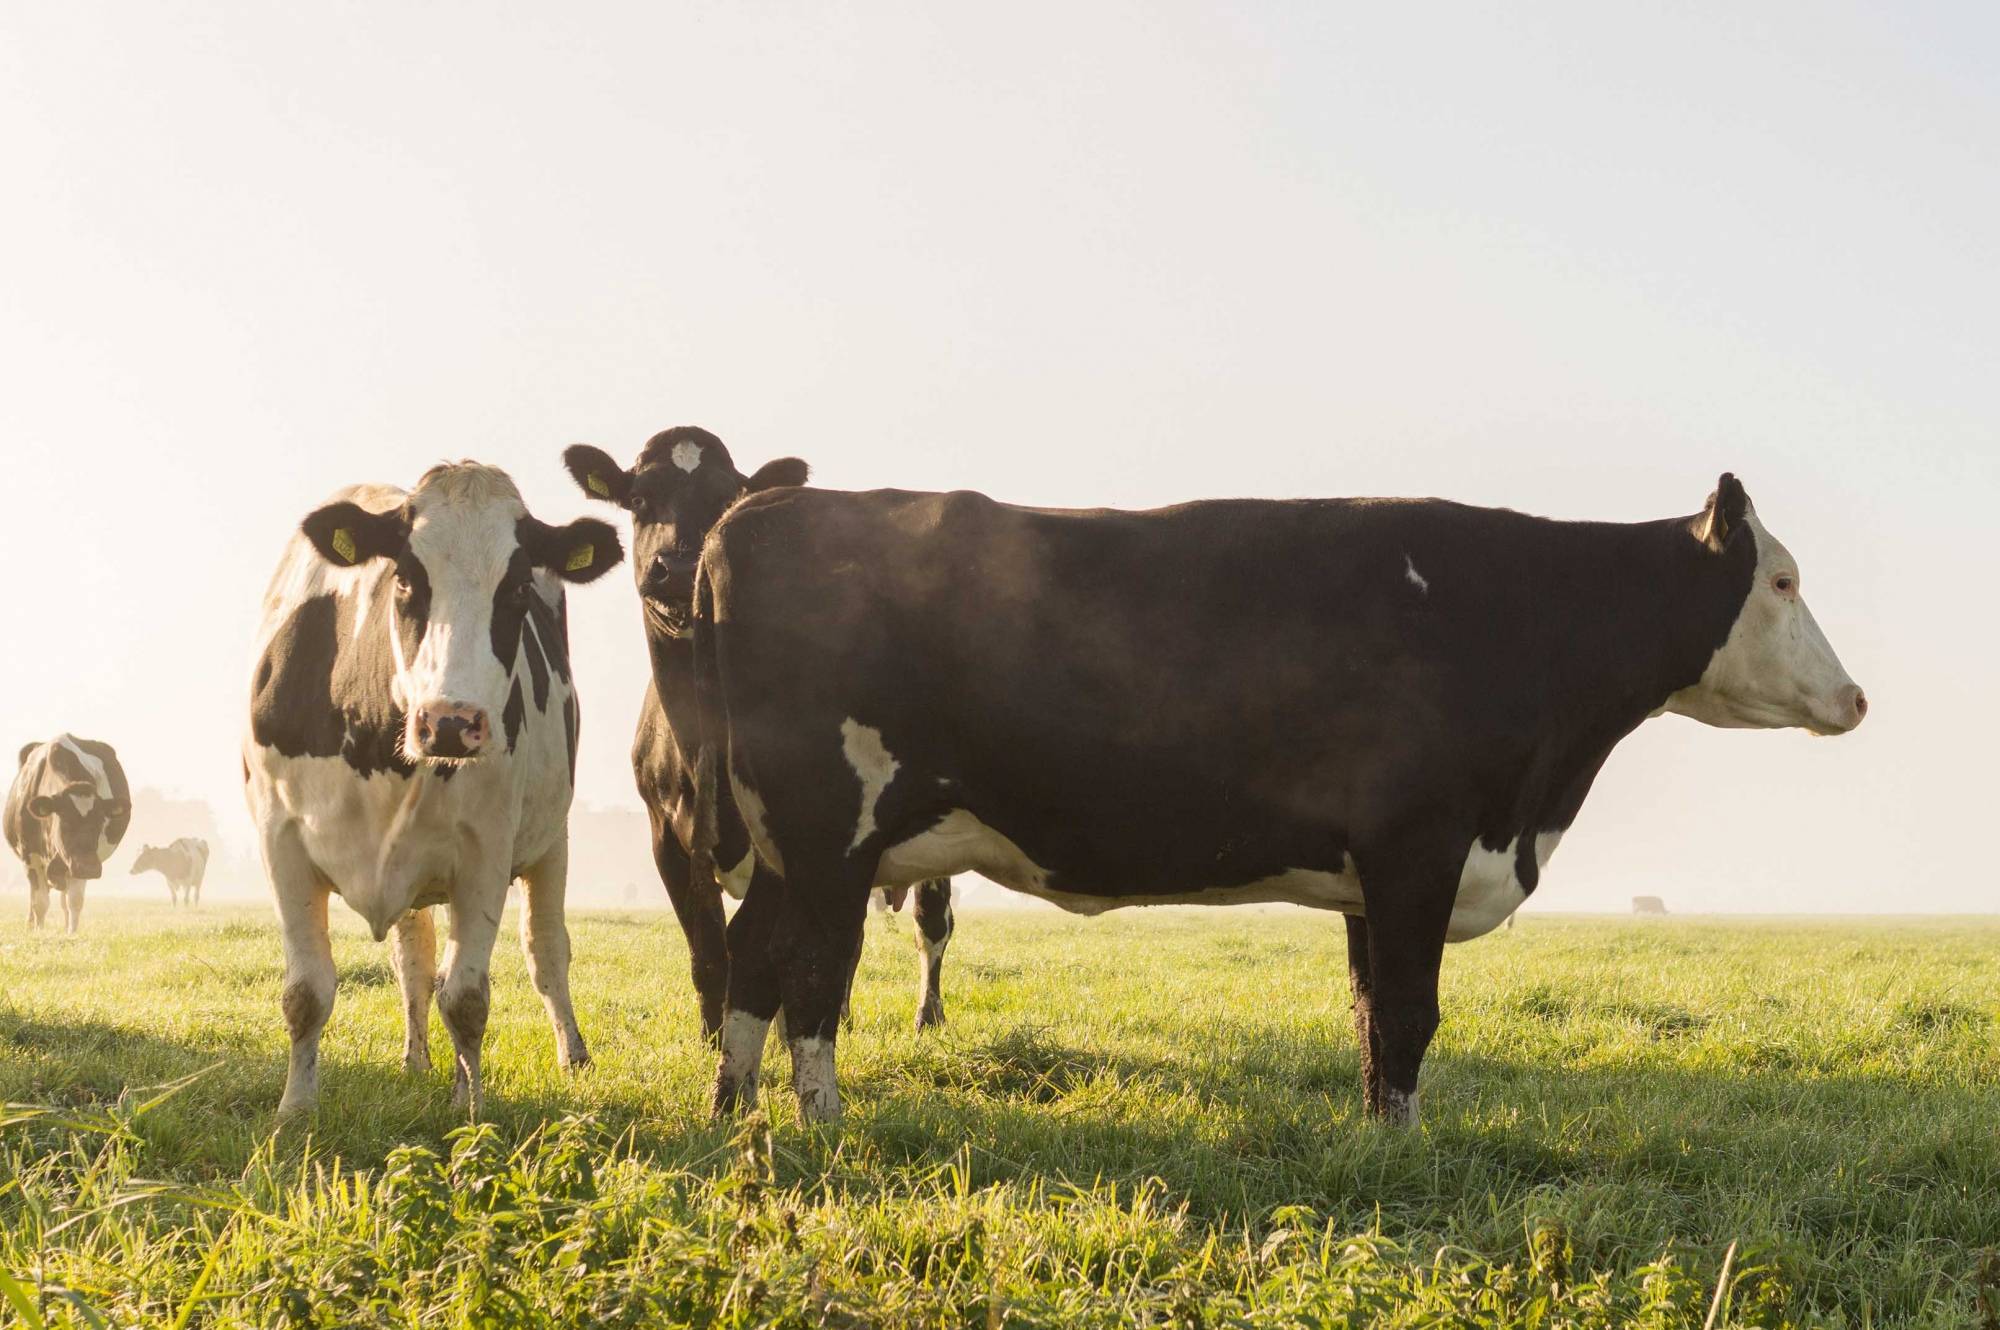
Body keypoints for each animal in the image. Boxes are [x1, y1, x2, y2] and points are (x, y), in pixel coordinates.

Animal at [4, 736, 131, 932]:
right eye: (65, 822)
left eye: (100, 822)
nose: (90, 868)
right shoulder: (31, 857)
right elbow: (40, 902)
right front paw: (39, 933)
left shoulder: (77, 863)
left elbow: (74, 902)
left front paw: (71, 934)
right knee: (35, 896)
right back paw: (31, 924)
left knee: (64, 901)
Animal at [250, 460, 624, 1112]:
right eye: (403, 579)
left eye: (517, 589)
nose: (451, 721)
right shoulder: (282, 840)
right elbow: (306, 992)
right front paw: (295, 1110)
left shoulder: (485, 852)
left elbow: (468, 1000)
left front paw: (472, 1111)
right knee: (417, 960)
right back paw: (417, 1061)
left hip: (551, 840)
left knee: (546, 951)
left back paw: (569, 1056)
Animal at [560, 426, 956, 1040]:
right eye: (639, 499)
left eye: (726, 499)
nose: (680, 567)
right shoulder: (666, 837)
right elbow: (708, 952)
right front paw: (714, 1038)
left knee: (930, 923)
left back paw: (925, 1015)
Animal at [692, 472, 1872, 1128]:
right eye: (1780, 580)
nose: (1856, 697)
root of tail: (754, 509)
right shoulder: (1417, 845)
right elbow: (1409, 1014)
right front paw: (1403, 1149)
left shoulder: (1370, 874)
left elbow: (1369, 1015)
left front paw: (1378, 1137)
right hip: (827, 832)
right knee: (811, 974)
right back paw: (822, 1121)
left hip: (790, 846)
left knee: (752, 959)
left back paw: (731, 1110)